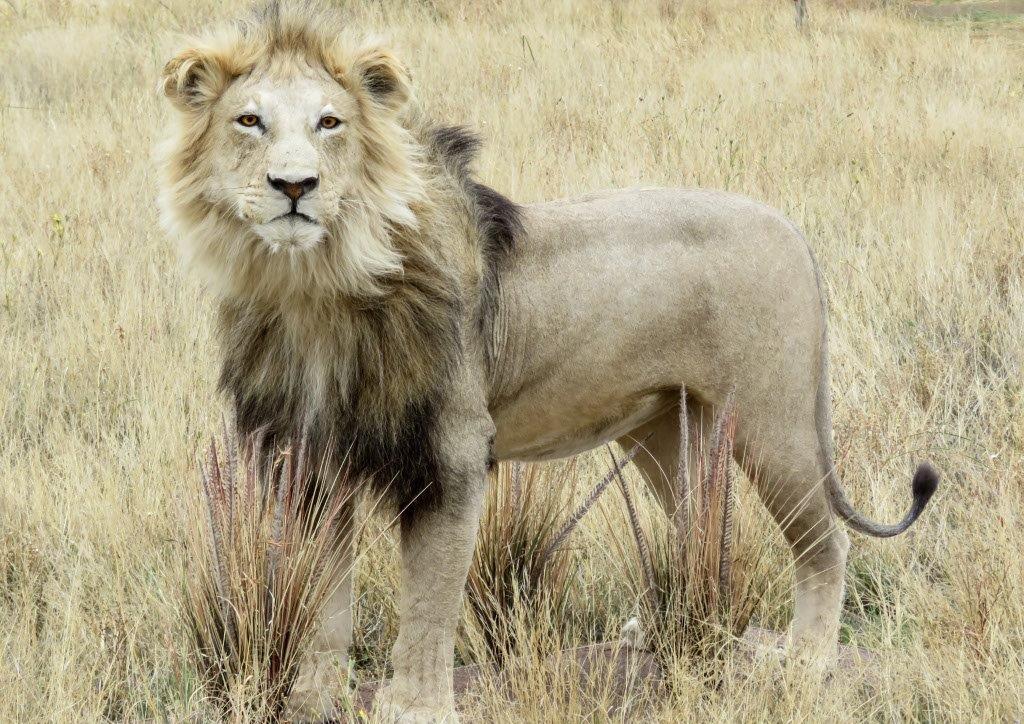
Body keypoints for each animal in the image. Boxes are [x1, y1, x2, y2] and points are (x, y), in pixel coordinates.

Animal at [158, 2, 938, 721]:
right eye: (249, 122)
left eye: (330, 123)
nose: (296, 186)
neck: (313, 287)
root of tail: (793, 230)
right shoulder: (307, 457)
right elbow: (325, 600)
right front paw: (314, 700)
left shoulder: (451, 455)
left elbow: (429, 606)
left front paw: (417, 707)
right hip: (663, 432)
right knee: (707, 530)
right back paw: (674, 636)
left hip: (773, 419)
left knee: (824, 541)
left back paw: (806, 662)